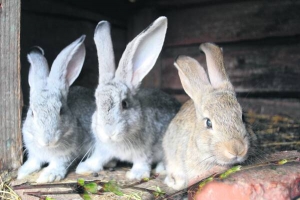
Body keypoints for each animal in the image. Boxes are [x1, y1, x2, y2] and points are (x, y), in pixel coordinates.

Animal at [17, 35, 95, 182]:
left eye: (61, 110)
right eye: (32, 113)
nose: (48, 140)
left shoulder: (65, 155)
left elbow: (58, 164)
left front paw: (48, 176)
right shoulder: (34, 154)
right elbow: (34, 162)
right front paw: (23, 172)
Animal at [76, 16, 182, 180]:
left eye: (124, 103)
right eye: (97, 104)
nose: (108, 132)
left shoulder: (144, 151)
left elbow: (142, 161)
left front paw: (136, 175)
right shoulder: (103, 149)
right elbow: (98, 158)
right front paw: (84, 168)